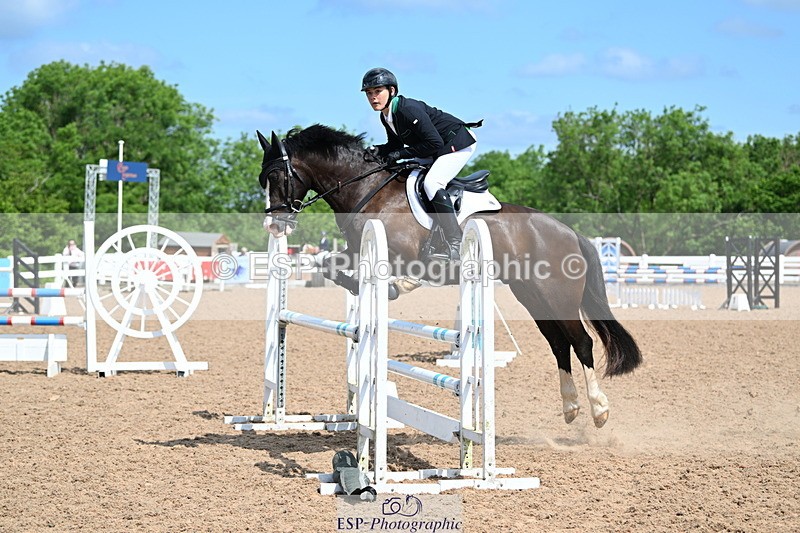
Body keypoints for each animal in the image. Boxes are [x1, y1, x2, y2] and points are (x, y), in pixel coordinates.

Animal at [256, 124, 642, 428]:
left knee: (582, 342)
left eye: (275, 177)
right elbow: (329, 266)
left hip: (557, 295)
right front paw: (365, 287)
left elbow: (404, 272)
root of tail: (569, 232)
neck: (367, 189)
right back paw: (571, 407)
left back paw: (599, 410)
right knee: (559, 344)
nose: (274, 226)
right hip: (531, 296)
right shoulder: (355, 250)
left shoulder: (401, 253)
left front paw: (398, 286)